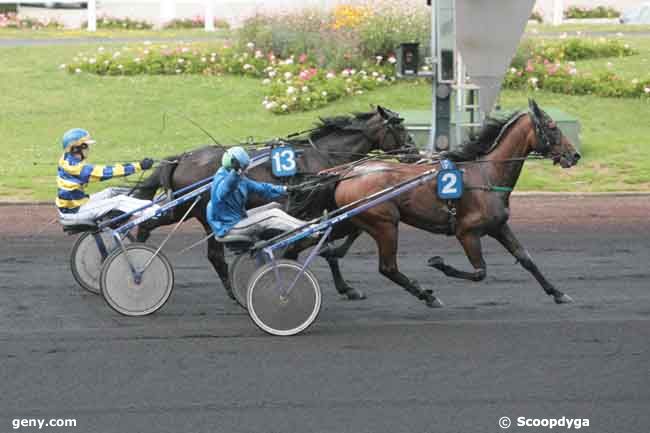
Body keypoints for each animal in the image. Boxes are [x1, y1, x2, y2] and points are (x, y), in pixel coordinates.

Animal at [132, 106, 416, 298]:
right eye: (400, 127)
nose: (414, 152)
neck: (324, 156)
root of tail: (182, 157)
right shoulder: (312, 207)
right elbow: (327, 242)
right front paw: (345, 286)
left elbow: (346, 233)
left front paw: (344, 283)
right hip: (202, 211)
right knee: (214, 255)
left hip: (183, 207)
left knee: (147, 224)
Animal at [288, 99, 576, 306]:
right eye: (552, 126)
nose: (574, 155)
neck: (486, 174)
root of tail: (347, 172)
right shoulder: (467, 232)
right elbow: (480, 272)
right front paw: (439, 264)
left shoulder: (498, 226)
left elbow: (525, 258)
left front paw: (558, 293)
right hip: (385, 223)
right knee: (387, 267)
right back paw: (426, 295)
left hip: (351, 220)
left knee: (314, 243)